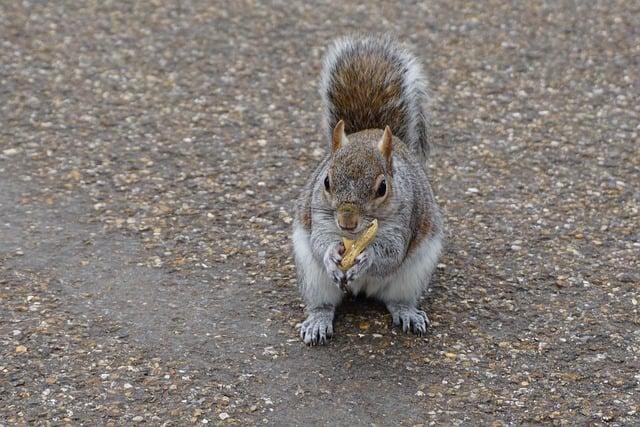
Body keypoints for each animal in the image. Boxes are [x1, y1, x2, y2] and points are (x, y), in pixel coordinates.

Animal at [292, 35, 442, 346]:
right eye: (326, 181)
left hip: (413, 275)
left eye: (382, 188)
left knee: (397, 299)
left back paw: (407, 313)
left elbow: (391, 253)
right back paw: (318, 321)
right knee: (324, 303)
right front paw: (331, 255)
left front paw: (368, 258)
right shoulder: (320, 215)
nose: (346, 222)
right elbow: (320, 241)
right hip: (314, 278)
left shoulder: (404, 220)